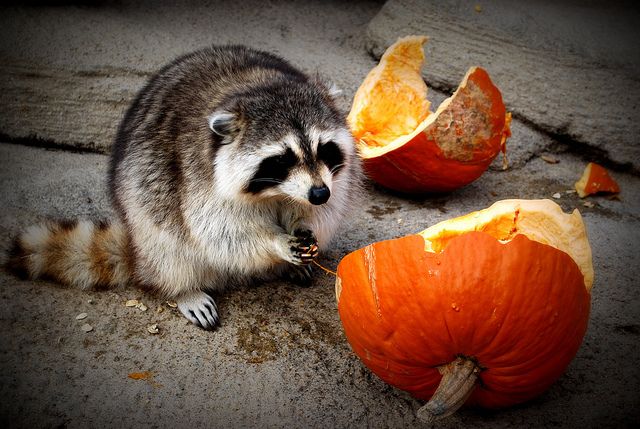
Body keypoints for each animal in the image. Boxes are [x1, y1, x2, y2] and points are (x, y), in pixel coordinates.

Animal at [8, 45, 360, 330]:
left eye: (323, 148)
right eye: (283, 159)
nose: (318, 194)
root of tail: (136, 252)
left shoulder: (333, 179)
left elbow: (324, 209)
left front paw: (303, 224)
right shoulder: (197, 179)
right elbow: (222, 232)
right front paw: (276, 242)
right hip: (142, 211)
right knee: (169, 246)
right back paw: (184, 287)